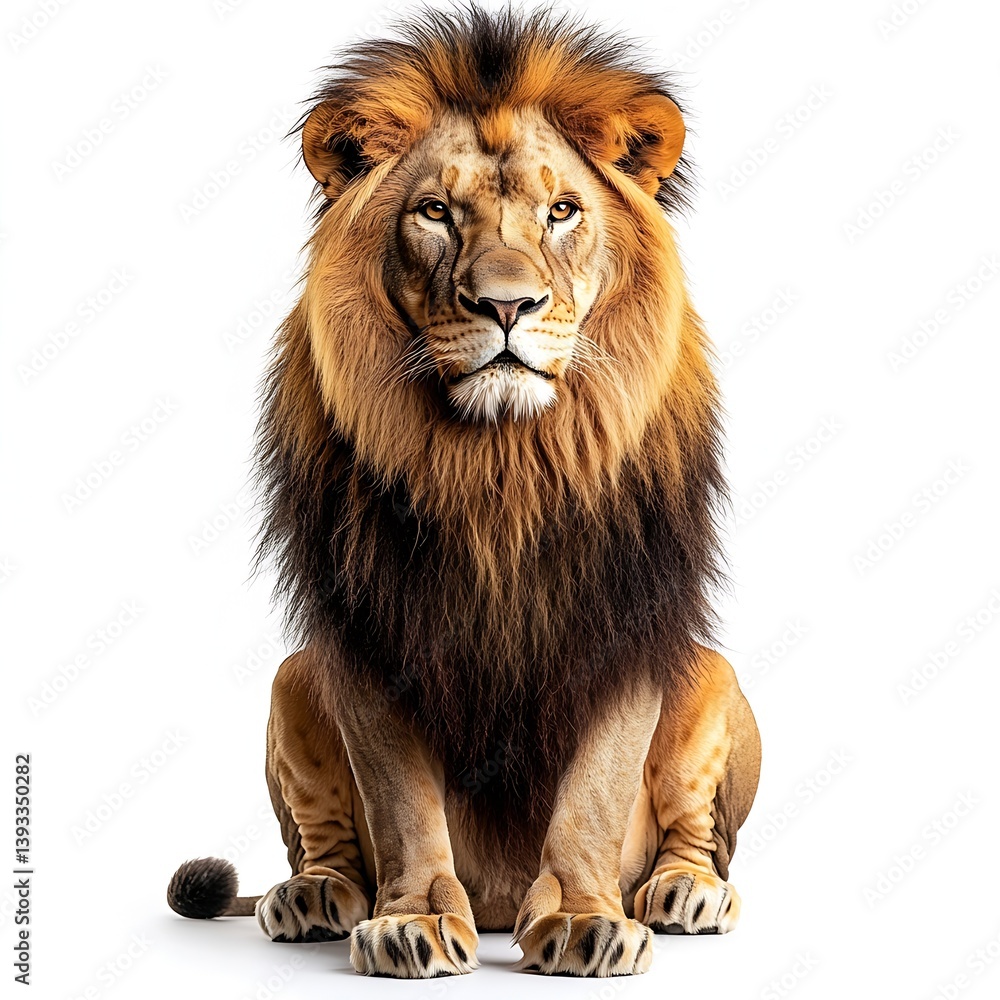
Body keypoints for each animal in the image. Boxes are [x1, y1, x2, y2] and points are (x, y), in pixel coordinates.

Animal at [167, 7, 760, 979]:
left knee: (697, 833)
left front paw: (585, 920)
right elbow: (403, 805)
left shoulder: (625, 616)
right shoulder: (369, 631)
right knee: (321, 841)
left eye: (562, 211)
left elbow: (595, 792)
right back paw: (313, 895)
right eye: (436, 212)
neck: (497, 466)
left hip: (710, 670)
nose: (507, 306)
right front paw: (409, 921)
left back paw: (686, 891)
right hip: (295, 676)